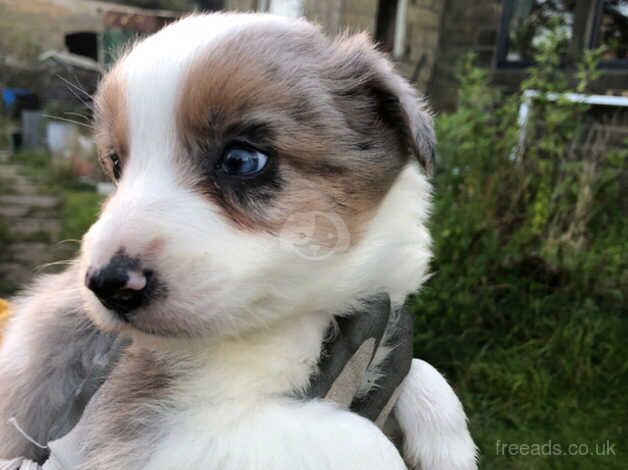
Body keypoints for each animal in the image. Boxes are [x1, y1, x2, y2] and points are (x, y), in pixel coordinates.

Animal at [0, 12, 476, 468]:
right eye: (117, 165)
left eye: (241, 160)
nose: (107, 284)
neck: (299, 313)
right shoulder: (158, 423)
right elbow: (364, 442)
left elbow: (423, 371)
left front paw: (448, 447)